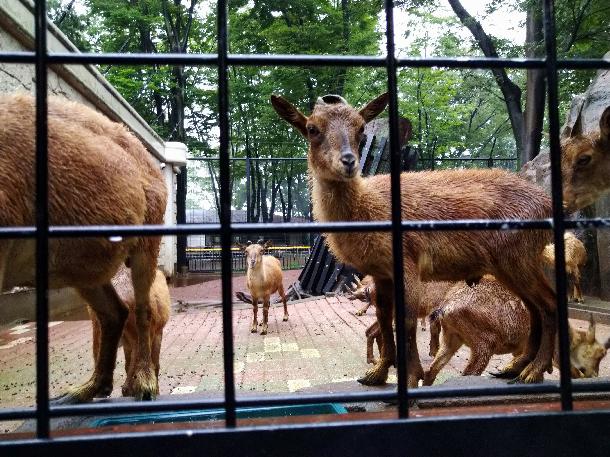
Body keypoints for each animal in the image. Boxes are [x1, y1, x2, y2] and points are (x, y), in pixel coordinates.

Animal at [88, 266, 170, 398]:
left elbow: (127, 366)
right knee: (132, 381)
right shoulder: (157, 331)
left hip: (98, 332)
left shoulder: (127, 342)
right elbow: (156, 365)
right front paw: (157, 392)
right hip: (141, 336)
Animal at [274, 92, 608, 388]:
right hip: (511, 266)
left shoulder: (407, 264)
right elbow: (384, 318)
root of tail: (549, 206)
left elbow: (407, 321)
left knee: (549, 304)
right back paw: (513, 369)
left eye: (360, 128)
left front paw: (410, 378)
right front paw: (376, 374)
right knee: (536, 308)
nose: (348, 161)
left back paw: (533, 372)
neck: (368, 208)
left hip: (518, 260)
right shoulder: (381, 273)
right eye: (312, 129)